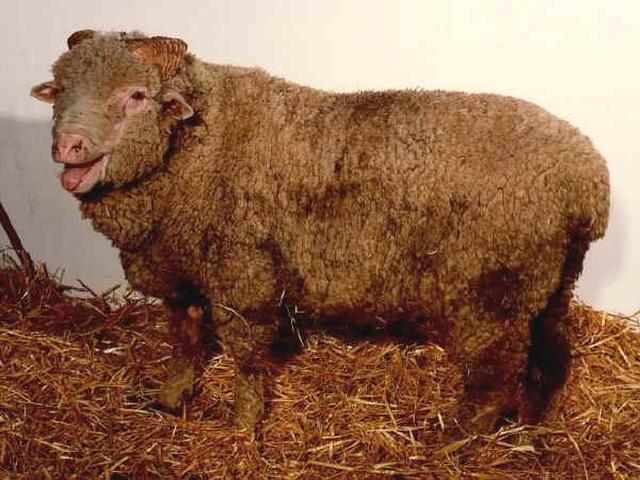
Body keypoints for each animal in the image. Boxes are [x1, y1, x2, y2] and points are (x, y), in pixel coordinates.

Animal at [31, 30, 610, 433]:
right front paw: (171, 402)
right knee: (552, 355)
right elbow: (184, 340)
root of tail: (589, 181)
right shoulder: (178, 271)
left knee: (494, 380)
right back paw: (532, 427)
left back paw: (454, 443)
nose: (68, 147)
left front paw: (242, 427)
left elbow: (245, 355)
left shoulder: (243, 276)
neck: (196, 144)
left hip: (491, 295)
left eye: (136, 95)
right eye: (59, 90)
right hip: (547, 285)